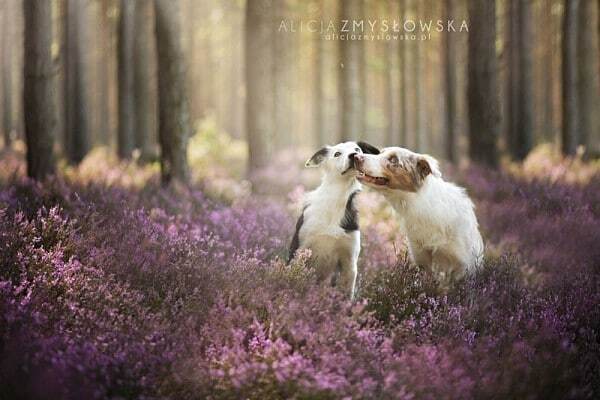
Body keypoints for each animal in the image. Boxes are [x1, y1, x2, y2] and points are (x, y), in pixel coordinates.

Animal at [290, 141, 380, 296]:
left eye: (357, 149)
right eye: (337, 153)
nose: (354, 155)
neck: (337, 198)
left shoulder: (349, 263)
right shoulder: (300, 251)